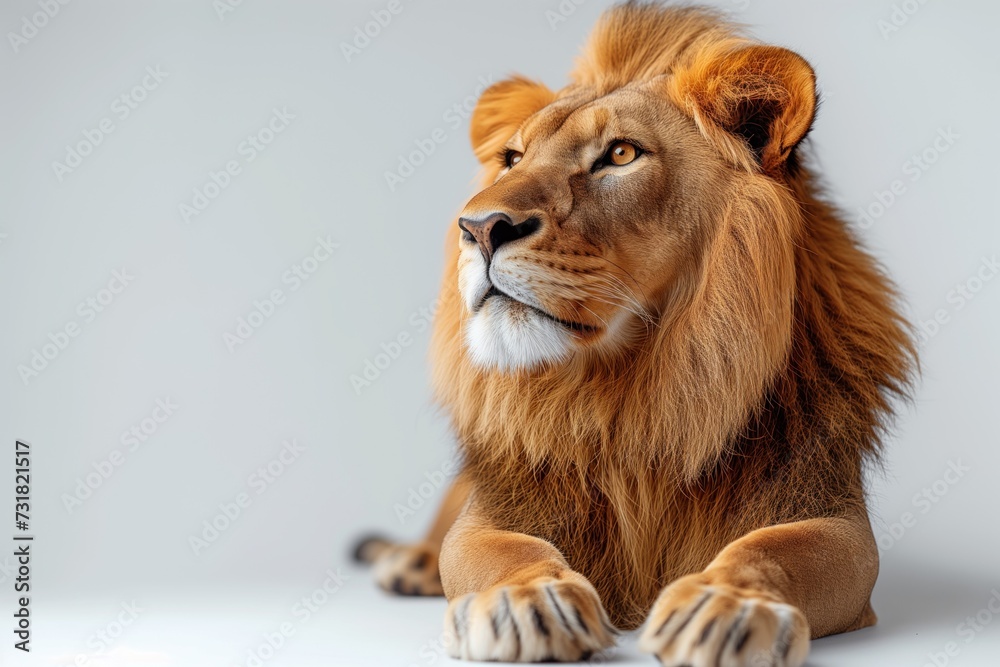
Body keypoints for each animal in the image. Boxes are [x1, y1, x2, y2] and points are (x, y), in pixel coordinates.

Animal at [355, 2, 916, 664]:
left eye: (620, 154)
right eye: (512, 159)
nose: (480, 227)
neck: (631, 387)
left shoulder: (832, 515)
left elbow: (772, 550)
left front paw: (723, 606)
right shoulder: (493, 513)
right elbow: (500, 551)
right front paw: (529, 602)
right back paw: (408, 561)